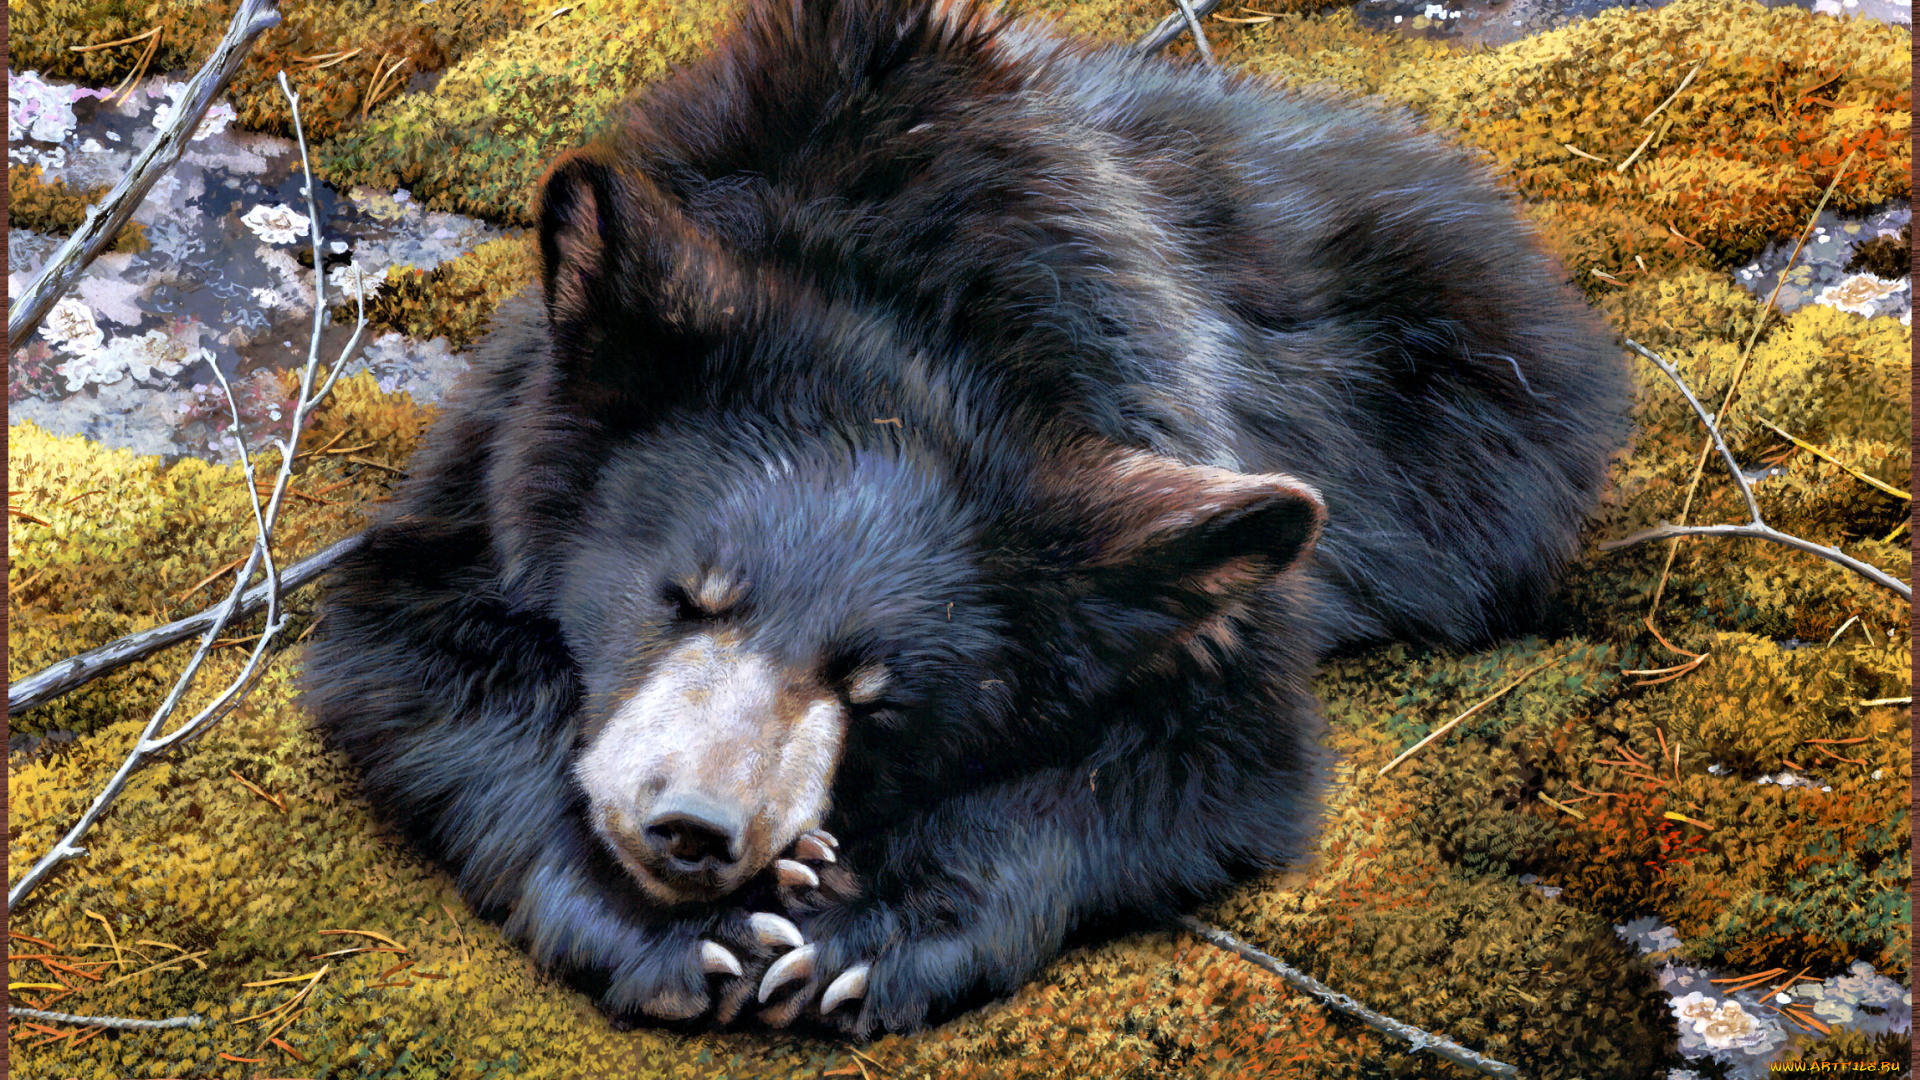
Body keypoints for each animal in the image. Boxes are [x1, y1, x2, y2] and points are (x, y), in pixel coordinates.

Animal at [300, 0, 1628, 1038]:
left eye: (874, 692)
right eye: (683, 595)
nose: (692, 831)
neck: (913, 315)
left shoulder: (1170, 459)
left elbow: (1212, 759)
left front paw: (859, 933)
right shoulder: (493, 450)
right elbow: (412, 659)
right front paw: (665, 930)